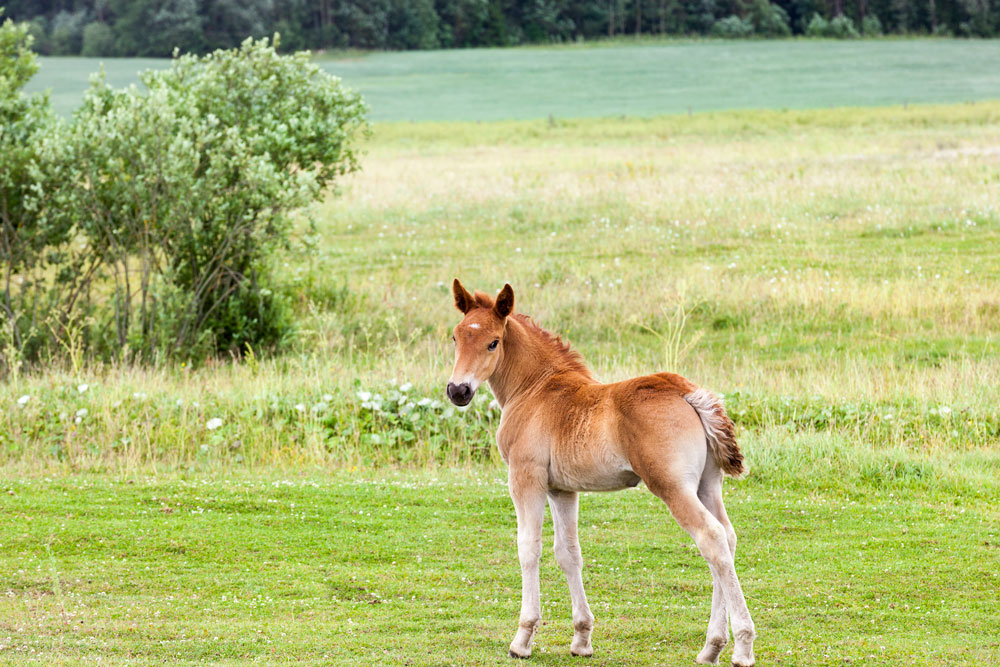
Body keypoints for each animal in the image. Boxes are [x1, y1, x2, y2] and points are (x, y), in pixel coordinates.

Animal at [446, 279, 756, 666]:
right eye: (456, 337)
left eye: (493, 342)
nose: (458, 391)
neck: (535, 388)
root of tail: (687, 392)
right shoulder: (562, 489)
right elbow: (569, 552)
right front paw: (581, 639)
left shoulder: (525, 477)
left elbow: (529, 547)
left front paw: (523, 639)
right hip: (707, 485)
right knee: (727, 536)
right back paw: (711, 646)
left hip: (673, 486)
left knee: (711, 538)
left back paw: (741, 646)